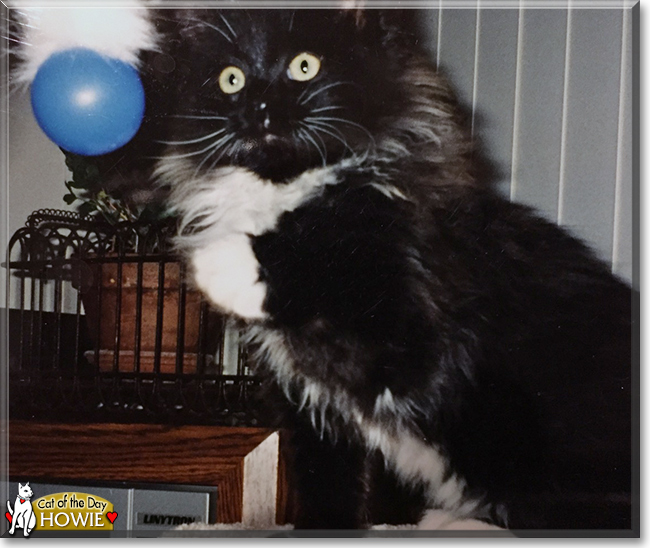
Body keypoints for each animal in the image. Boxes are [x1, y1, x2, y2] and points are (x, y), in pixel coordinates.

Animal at [10, 5, 632, 532]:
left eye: (304, 66)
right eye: (231, 79)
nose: (260, 110)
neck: (284, 187)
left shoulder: (411, 336)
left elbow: (323, 262)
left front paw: (223, 261)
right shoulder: (307, 403)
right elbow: (325, 485)